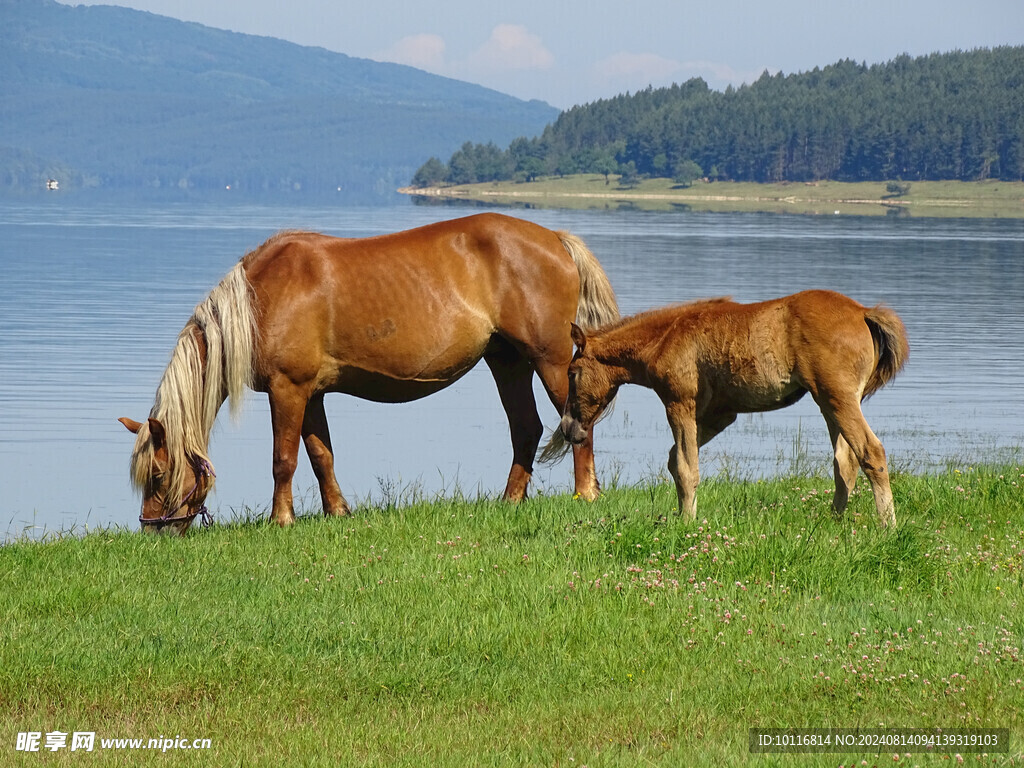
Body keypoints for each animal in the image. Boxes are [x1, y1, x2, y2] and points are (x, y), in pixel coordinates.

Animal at [119, 214, 614, 532]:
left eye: (158, 474)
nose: (154, 531)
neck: (260, 298)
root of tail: (555, 238)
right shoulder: (311, 394)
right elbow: (321, 456)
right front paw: (337, 511)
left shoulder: (288, 389)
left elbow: (284, 459)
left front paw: (281, 520)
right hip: (507, 362)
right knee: (527, 429)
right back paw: (510, 500)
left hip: (550, 361)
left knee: (578, 425)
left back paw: (585, 494)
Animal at [548, 290, 909, 528]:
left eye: (572, 372)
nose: (567, 428)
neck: (665, 337)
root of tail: (862, 312)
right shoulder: (720, 414)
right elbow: (675, 461)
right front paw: (682, 514)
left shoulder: (679, 403)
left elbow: (685, 466)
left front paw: (687, 523)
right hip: (829, 403)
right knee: (844, 462)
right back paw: (833, 521)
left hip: (838, 399)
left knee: (871, 452)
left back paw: (888, 526)